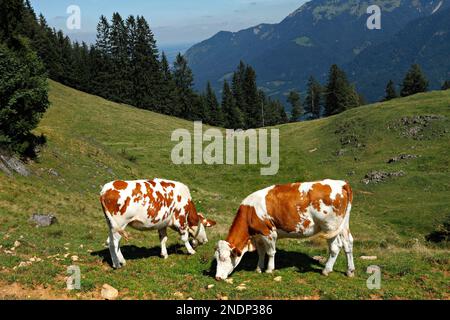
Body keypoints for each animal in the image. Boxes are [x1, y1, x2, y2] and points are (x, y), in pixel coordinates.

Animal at [214, 180, 356, 280]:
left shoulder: (269, 233)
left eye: (224, 258)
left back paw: (326, 270)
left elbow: (270, 252)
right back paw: (350, 271)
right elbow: (261, 253)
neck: (250, 211)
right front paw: (258, 268)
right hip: (343, 225)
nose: (217, 278)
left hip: (330, 226)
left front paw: (269, 269)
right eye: (216, 258)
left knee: (335, 247)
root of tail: (341, 183)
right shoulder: (258, 236)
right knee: (348, 243)